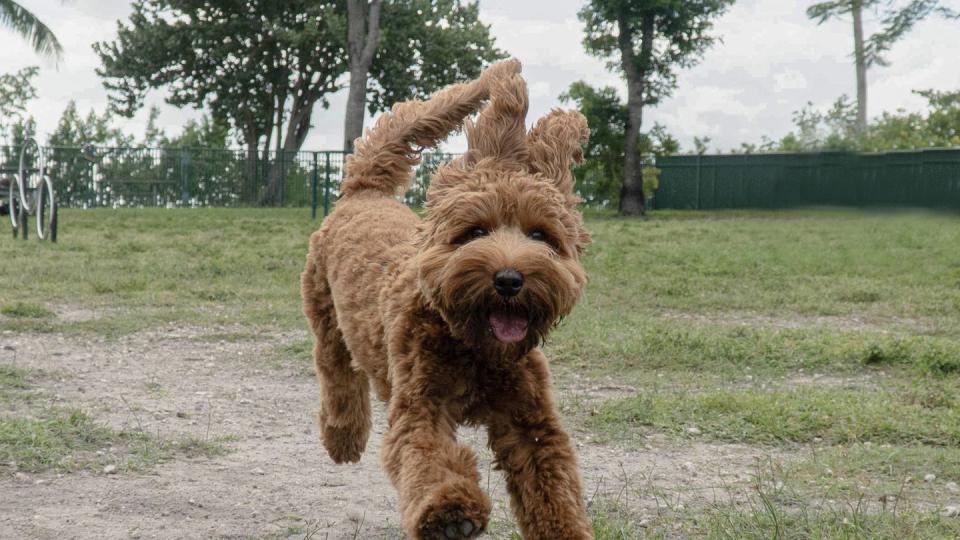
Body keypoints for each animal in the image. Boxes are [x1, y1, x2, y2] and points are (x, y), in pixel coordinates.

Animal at [302, 60, 592, 540]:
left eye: (541, 235)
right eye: (475, 231)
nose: (509, 279)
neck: (475, 347)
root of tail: (367, 192)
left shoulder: (531, 421)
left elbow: (553, 489)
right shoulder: (421, 406)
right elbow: (429, 459)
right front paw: (450, 512)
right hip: (325, 313)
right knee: (336, 372)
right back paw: (343, 437)